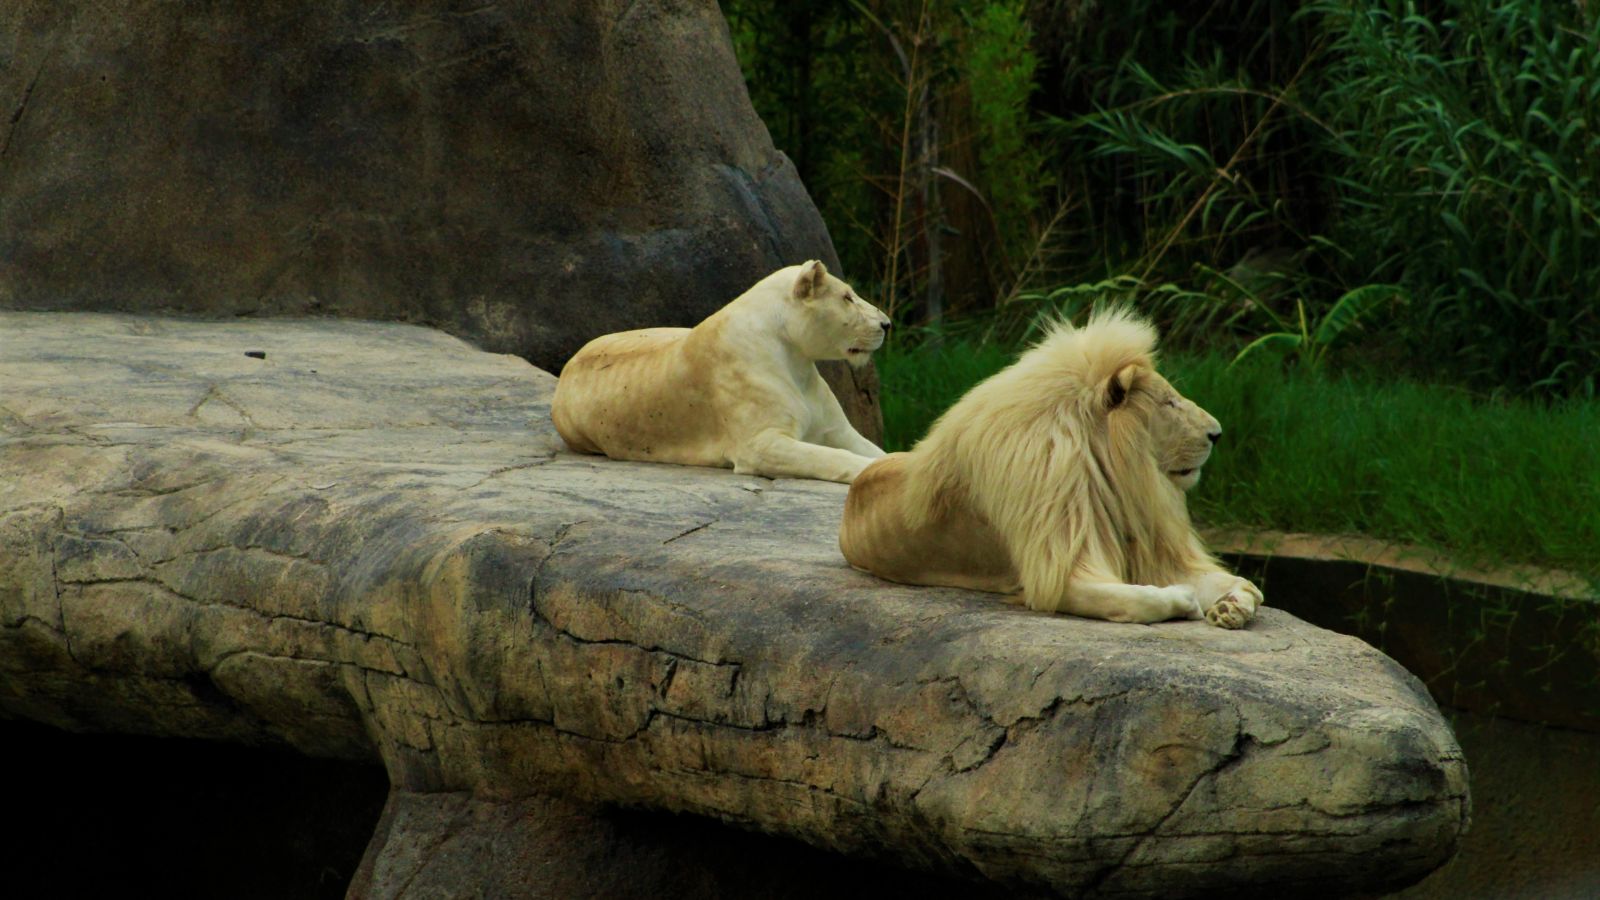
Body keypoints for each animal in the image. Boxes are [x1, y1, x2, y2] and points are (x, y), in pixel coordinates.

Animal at [556, 261, 896, 483]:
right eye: (847, 297)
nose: (888, 324)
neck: (798, 363)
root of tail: (571, 360)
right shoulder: (759, 445)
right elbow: (830, 457)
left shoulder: (837, 431)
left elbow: (877, 451)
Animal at [838, 307, 1260, 624]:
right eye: (1169, 403)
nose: (1217, 433)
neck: (1111, 474)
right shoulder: (1053, 571)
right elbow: (1134, 600)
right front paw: (1181, 599)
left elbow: (1226, 579)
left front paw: (1235, 602)